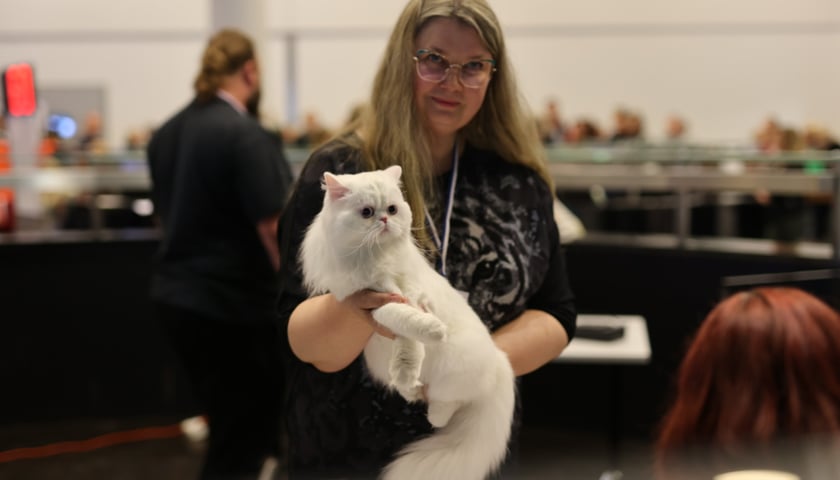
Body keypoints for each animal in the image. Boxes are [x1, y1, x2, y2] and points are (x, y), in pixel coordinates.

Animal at [298, 166, 516, 480]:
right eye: (366, 212)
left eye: (392, 208)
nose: (385, 220)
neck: (373, 257)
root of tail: (499, 360)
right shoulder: (370, 300)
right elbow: (402, 323)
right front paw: (420, 348)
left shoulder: (408, 289)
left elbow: (411, 328)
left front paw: (432, 333)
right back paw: (410, 389)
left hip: (455, 373)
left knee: (449, 401)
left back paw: (430, 410)